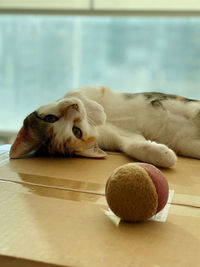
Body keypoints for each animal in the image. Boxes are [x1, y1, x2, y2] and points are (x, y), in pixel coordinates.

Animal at [9, 87, 200, 169]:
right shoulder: (121, 137)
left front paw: (96, 111)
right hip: (187, 143)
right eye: (76, 132)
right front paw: (164, 154)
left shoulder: (93, 89)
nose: (74, 109)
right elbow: (134, 146)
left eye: (50, 118)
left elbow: (75, 93)